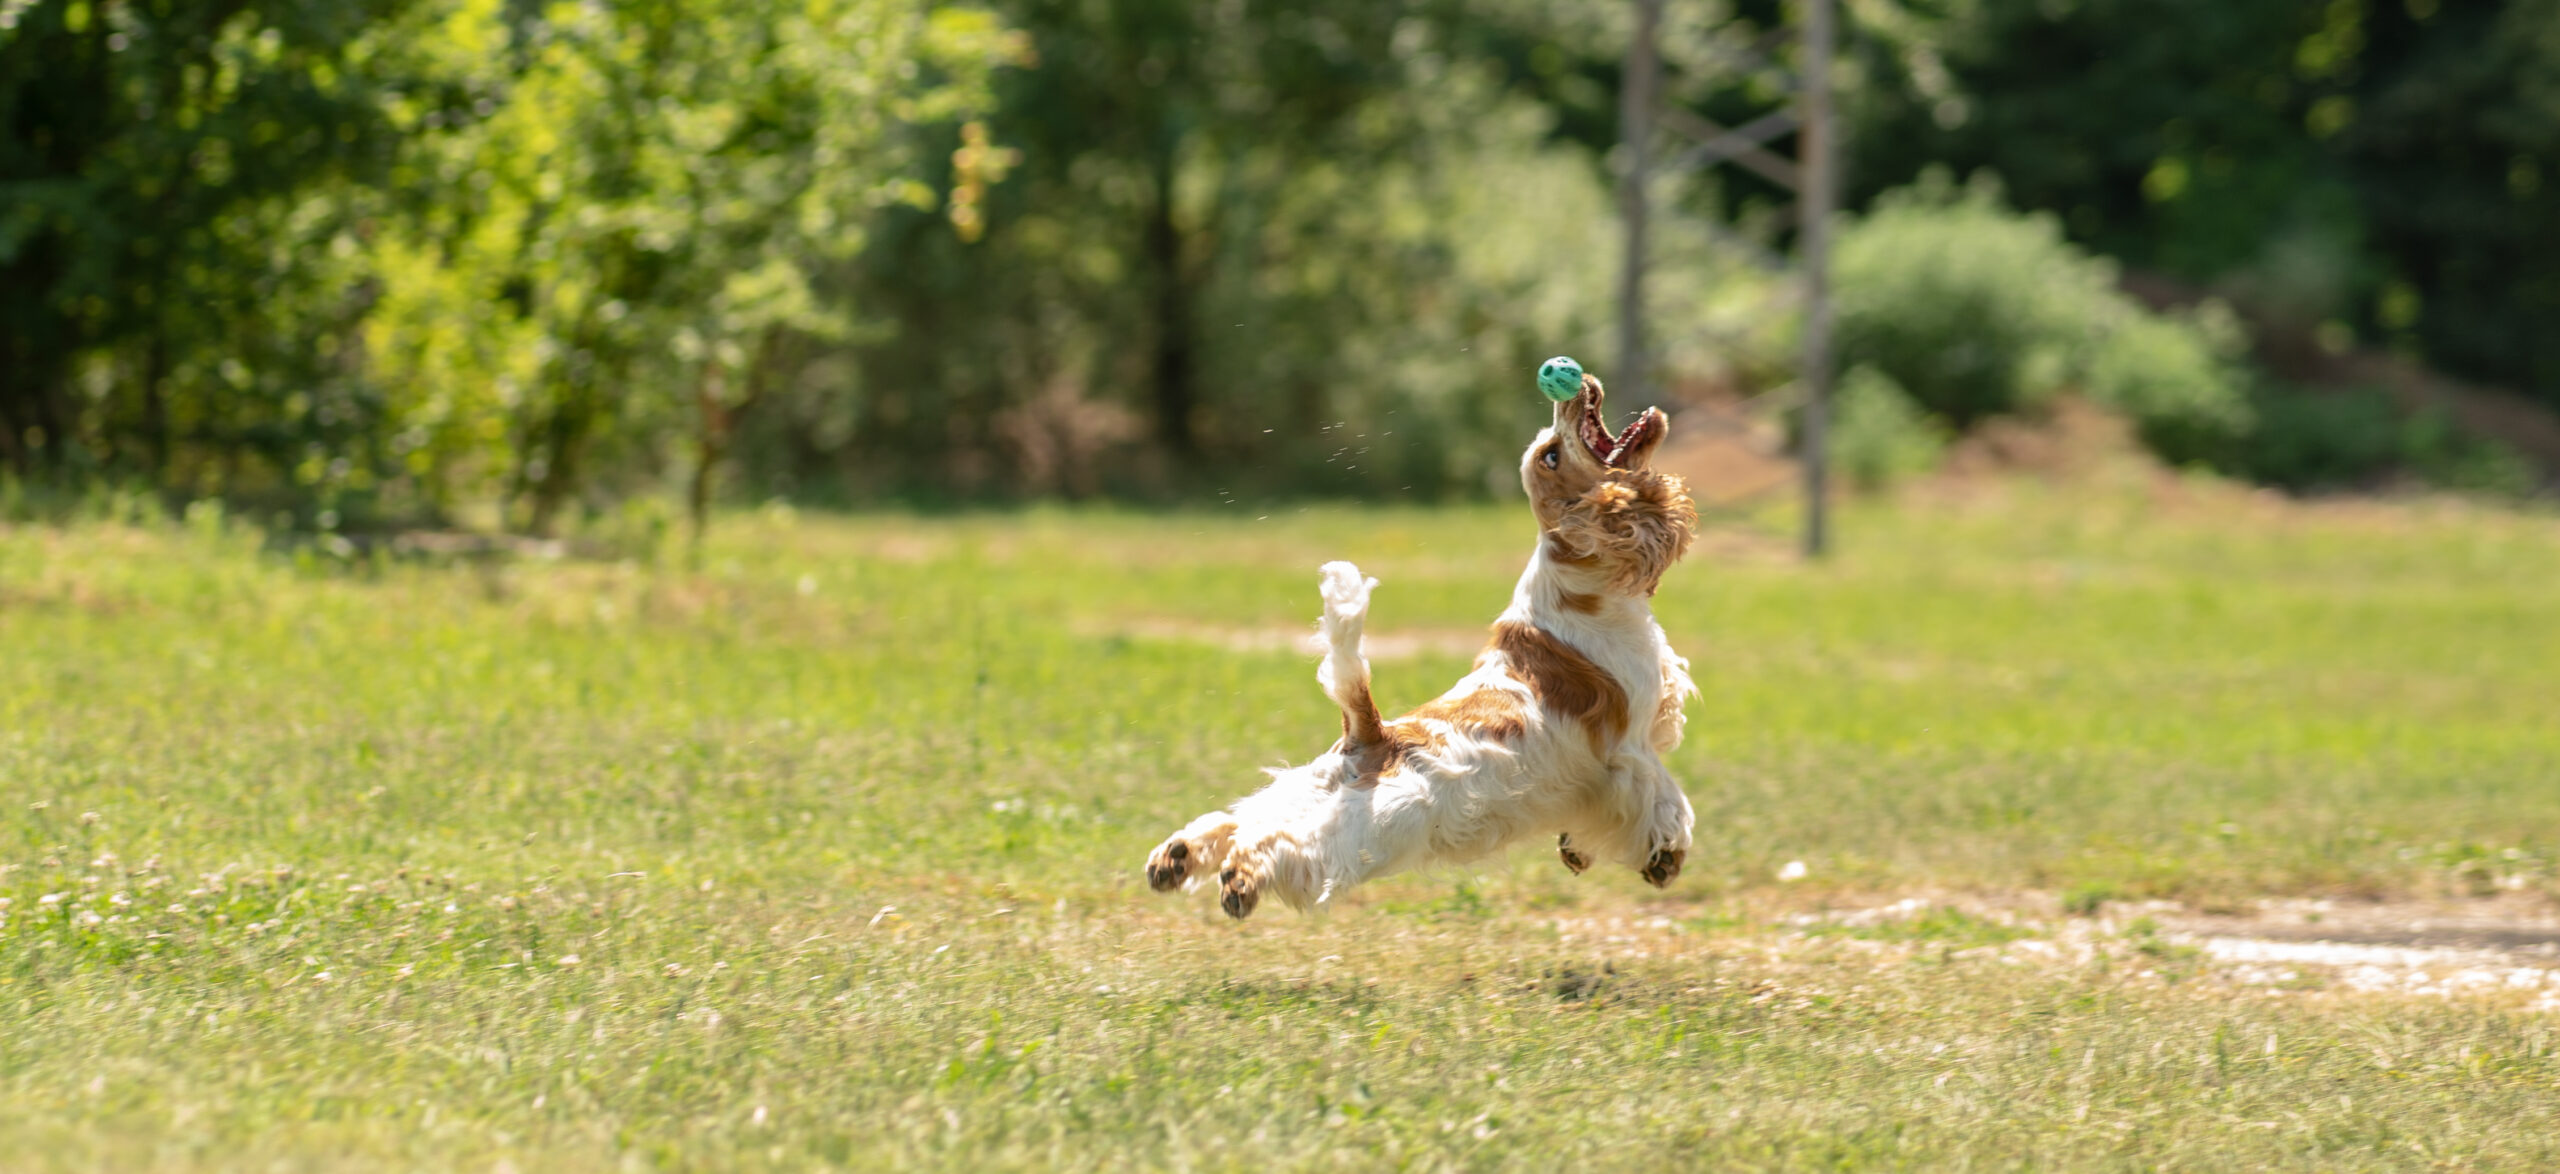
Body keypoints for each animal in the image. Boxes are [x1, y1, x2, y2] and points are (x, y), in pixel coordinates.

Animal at [1141, 375, 1699, 920]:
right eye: (1551, 456)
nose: (1572, 388)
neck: (1581, 586)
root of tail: (1372, 734)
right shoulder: (1629, 749)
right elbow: (1666, 797)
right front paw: (1665, 855)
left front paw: (1579, 849)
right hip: (1361, 831)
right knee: (1278, 845)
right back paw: (1239, 880)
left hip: (1311, 788)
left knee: (1238, 820)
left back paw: (1175, 858)